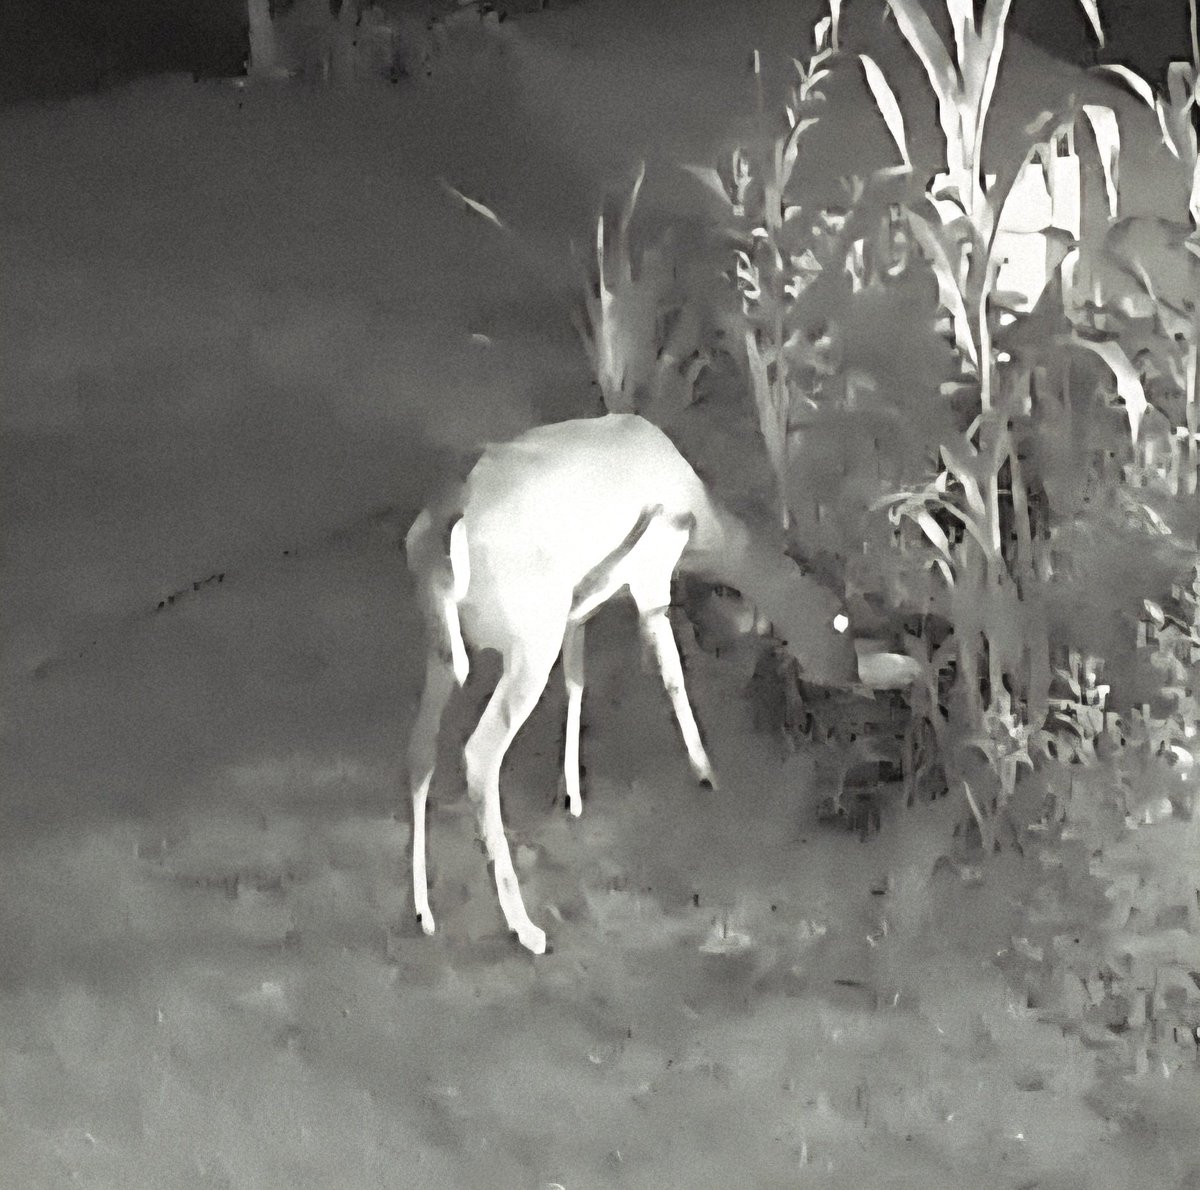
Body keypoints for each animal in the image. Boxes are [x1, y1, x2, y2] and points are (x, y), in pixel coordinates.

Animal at [404, 412, 860, 954]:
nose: (854, 676)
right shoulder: (651, 573)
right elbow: (671, 670)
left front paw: (573, 794)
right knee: (479, 753)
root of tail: (444, 533)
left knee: (419, 750)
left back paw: (424, 913)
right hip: (527, 643)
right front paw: (706, 770)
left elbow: (577, 678)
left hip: (442, 650)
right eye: (841, 620)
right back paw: (527, 929)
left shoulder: (581, 605)